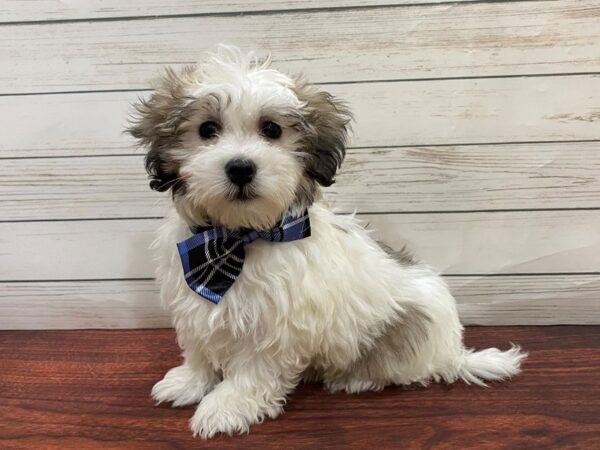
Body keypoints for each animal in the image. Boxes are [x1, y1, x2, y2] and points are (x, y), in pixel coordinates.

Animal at [126, 47, 524, 438]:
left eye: (271, 129)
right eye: (207, 129)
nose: (240, 168)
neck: (235, 239)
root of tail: (451, 352)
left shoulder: (275, 326)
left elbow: (251, 372)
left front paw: (225, 407)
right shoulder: (193, 300)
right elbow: (199, 346)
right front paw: (189, 382)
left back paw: (354, 380)